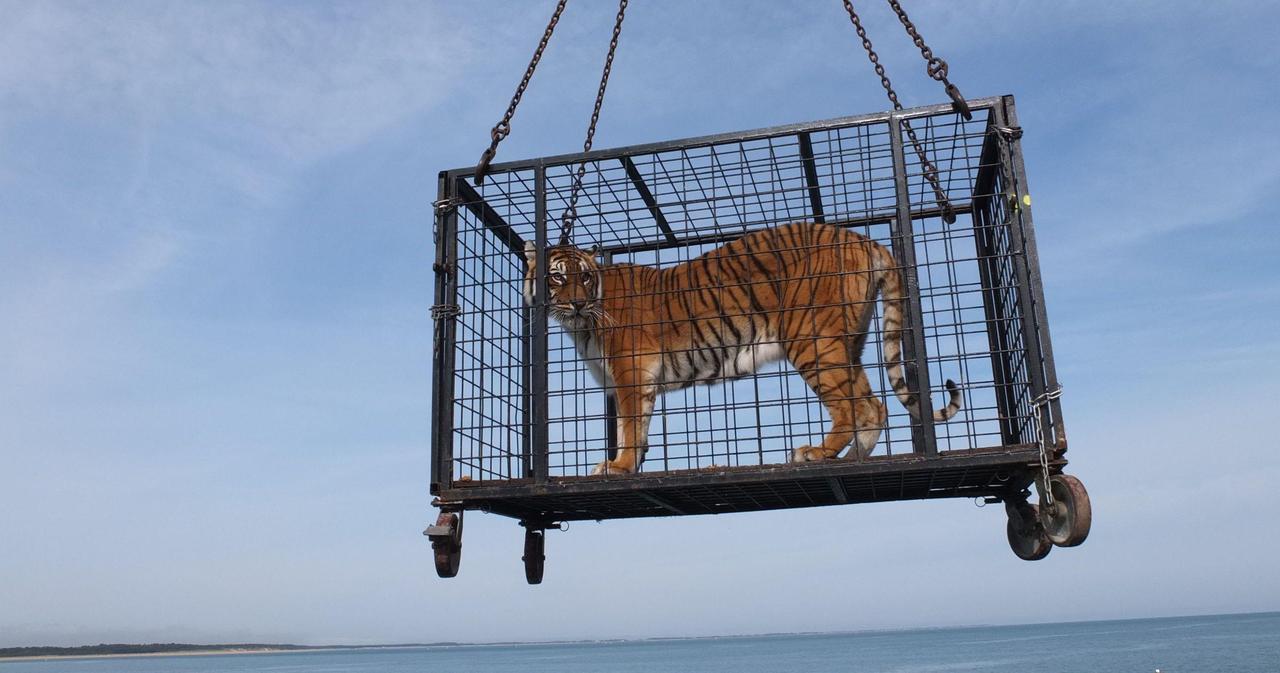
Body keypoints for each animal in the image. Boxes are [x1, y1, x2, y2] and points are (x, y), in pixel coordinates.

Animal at [522, 221, 962, 475]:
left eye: (583, 277)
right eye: (557, 278)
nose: (578, 303)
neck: (583, 321)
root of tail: (862, 237)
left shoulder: (632, 372)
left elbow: (629, 427)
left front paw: (619, 466)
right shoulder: (637, 380)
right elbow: (640, 427)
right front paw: (630, 464)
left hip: (811, 338)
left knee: (856, 406)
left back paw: (816, 453)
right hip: (846, 342)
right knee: (874, 404)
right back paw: (851, 455)